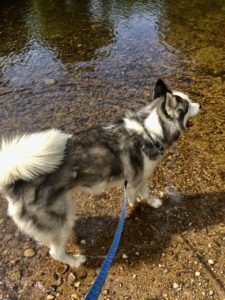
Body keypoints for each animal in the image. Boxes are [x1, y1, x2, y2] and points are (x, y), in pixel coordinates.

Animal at [0, 79, 200, 268]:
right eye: (188, 106)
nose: (200, 105)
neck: (149, 132)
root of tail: (14, 182)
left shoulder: (141, 176)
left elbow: (146, 192)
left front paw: (153, 202)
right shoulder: (134, 181)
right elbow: (135, 198)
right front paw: (137, 208)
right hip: (62, 218)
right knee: (55, 252)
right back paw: (74, 261)